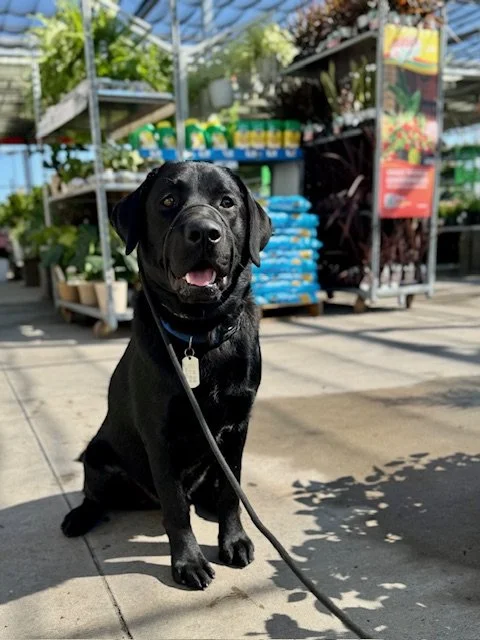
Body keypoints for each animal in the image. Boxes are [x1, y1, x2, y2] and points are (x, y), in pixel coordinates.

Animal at [61, 161, 272, 590]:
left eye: (227, 202)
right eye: (168, 201)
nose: (204, 232)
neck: (200, 335)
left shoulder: (238, 428)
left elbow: (231, 491)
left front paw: (234, 540)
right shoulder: (159, 436)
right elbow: (175, 508)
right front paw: (188, 562)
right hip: (98, 455)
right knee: (96, 495)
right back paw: (80, 516)